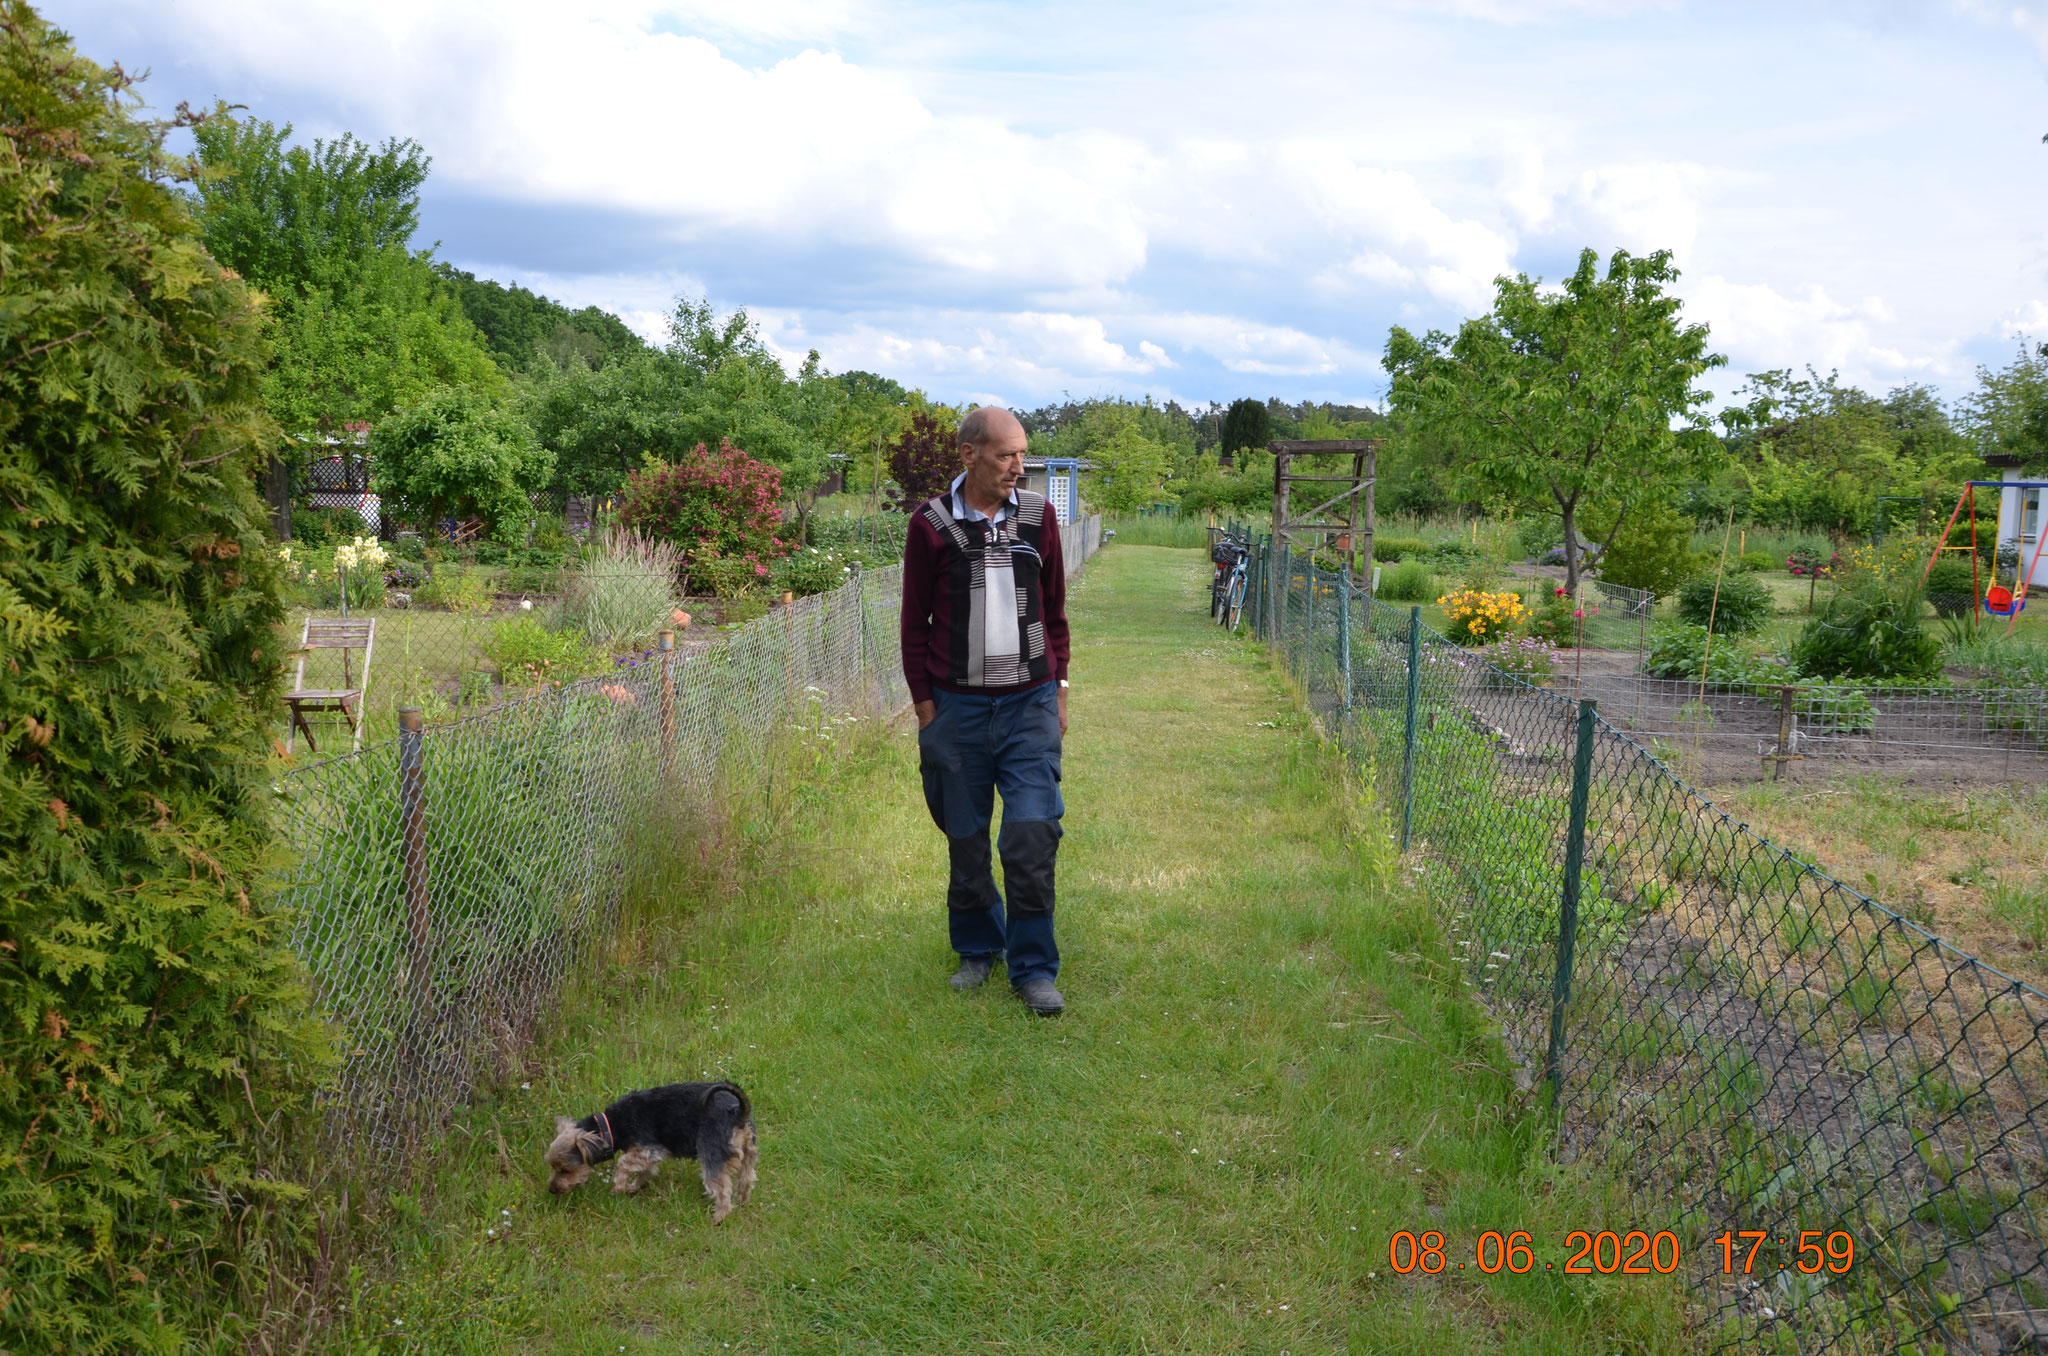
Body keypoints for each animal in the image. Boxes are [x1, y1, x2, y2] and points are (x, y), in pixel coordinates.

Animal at [544, 1081, 761, 1220]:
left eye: (565, 1170)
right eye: (553, 1167)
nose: (551, 1190)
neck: (609, 1126)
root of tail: (738, 1113)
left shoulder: (648, 1149)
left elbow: (623, 1163)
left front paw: (619, 1187)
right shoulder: (646, 1155)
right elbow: (644, 1172)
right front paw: (634, 1187)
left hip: (712, 1155)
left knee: (722, 1189)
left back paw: (719, 1217)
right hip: (749, 1152)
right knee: (747, 1179)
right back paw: (743, 1200)